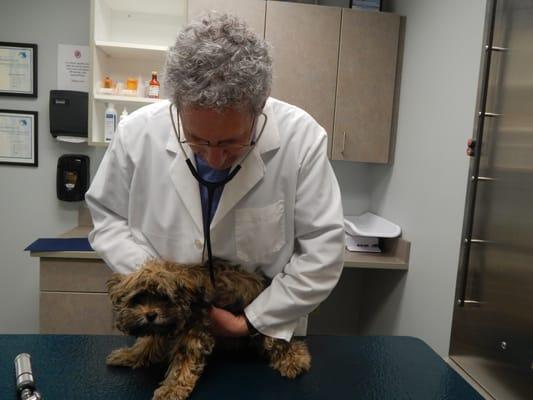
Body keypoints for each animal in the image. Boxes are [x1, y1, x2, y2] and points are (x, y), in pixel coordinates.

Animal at [105, 260, 310, 400]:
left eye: (164, 298)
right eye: (138, 298)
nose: (150, 315)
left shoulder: (194, 329)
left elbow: (183, 361)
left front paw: (172, 389)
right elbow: (148, 342)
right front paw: (131, 355)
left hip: (266, 324)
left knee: (281, 341)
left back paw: (295, 361)